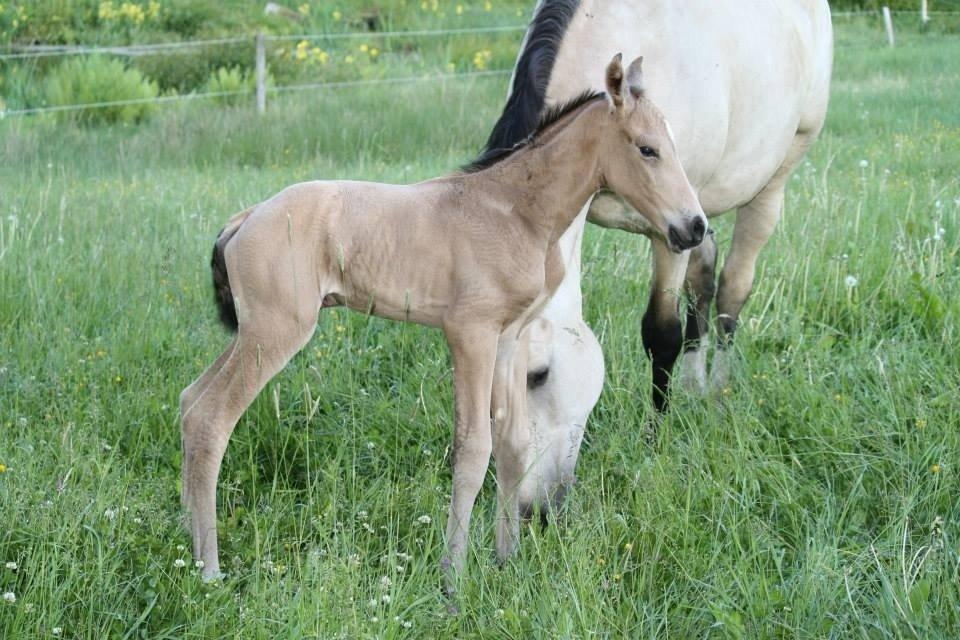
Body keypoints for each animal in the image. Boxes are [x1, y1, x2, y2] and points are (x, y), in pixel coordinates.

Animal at [180, 57, 704, 588]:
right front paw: (453, 577)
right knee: (212, 418)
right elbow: (473, 448)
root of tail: (245, 219)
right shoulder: (470, 333)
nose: (696, 227)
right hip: (276, 332)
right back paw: (209, 569)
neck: (518, 211)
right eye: (647, 148)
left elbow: (512, 442)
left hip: (255, 331)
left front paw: (506, 559)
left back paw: (187, 542)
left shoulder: (508, 338)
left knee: (189, 400)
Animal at [484, 1, 836, 528]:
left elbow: (661, 333)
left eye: (538, 375)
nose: (534, 510)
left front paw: (654, 443)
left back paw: (717, 391)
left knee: (732, 290)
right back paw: (694, 383)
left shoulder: (672, 229)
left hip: (772, 179)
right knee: (704, 282)